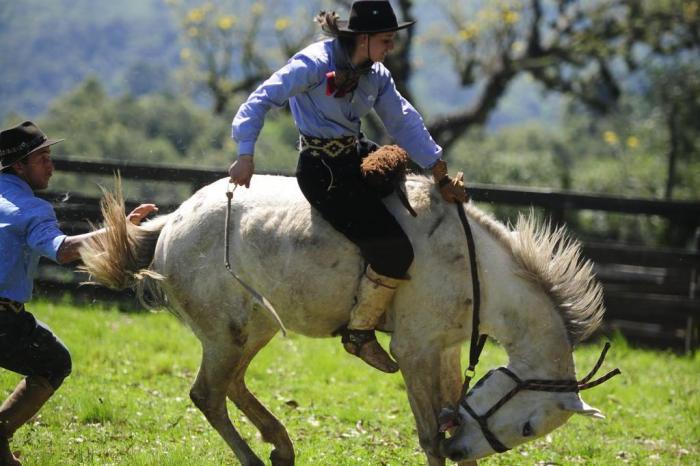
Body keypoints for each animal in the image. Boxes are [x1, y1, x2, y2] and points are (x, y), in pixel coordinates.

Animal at [82, 173, 616, 464]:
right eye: (527, 428)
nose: (465, 449)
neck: (472, 264)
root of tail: (171, 223)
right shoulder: (414, 351)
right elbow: (430, 436)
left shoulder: (444, 350)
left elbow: (447, 415)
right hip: (226, 333)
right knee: (208, 394)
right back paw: (261, 455)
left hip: (254, 327)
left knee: (230, 384)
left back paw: (280, 445)